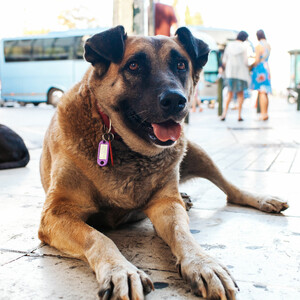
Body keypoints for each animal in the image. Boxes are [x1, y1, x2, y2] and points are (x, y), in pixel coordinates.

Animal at [37, 26, 288, 300]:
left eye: (181, 65)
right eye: (134, 65)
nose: (176, 101)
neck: (119, 140)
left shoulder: (166, 206)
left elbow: (182, 234)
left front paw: (203, 263)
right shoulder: (56, 214)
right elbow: (98, 238)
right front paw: (121, 270)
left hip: (196, 152)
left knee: (231, 190)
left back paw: (262, 199)